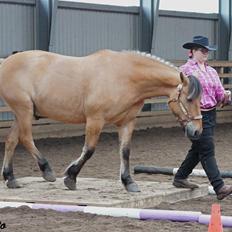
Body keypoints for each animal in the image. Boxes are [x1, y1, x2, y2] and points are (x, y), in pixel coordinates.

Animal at [0, 49, 202, 191]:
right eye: (189, 99)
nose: (198, 131)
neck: (125, 77)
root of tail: (6, 62)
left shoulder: (127, 122)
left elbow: (125, 152)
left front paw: (128, 182)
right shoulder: (95, 120)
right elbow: (89, 150)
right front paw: (70, 177)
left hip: (22, 113)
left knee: (11, 141)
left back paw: (10, 178)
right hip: (24, 110)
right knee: (26, 138)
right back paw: (47, 171)